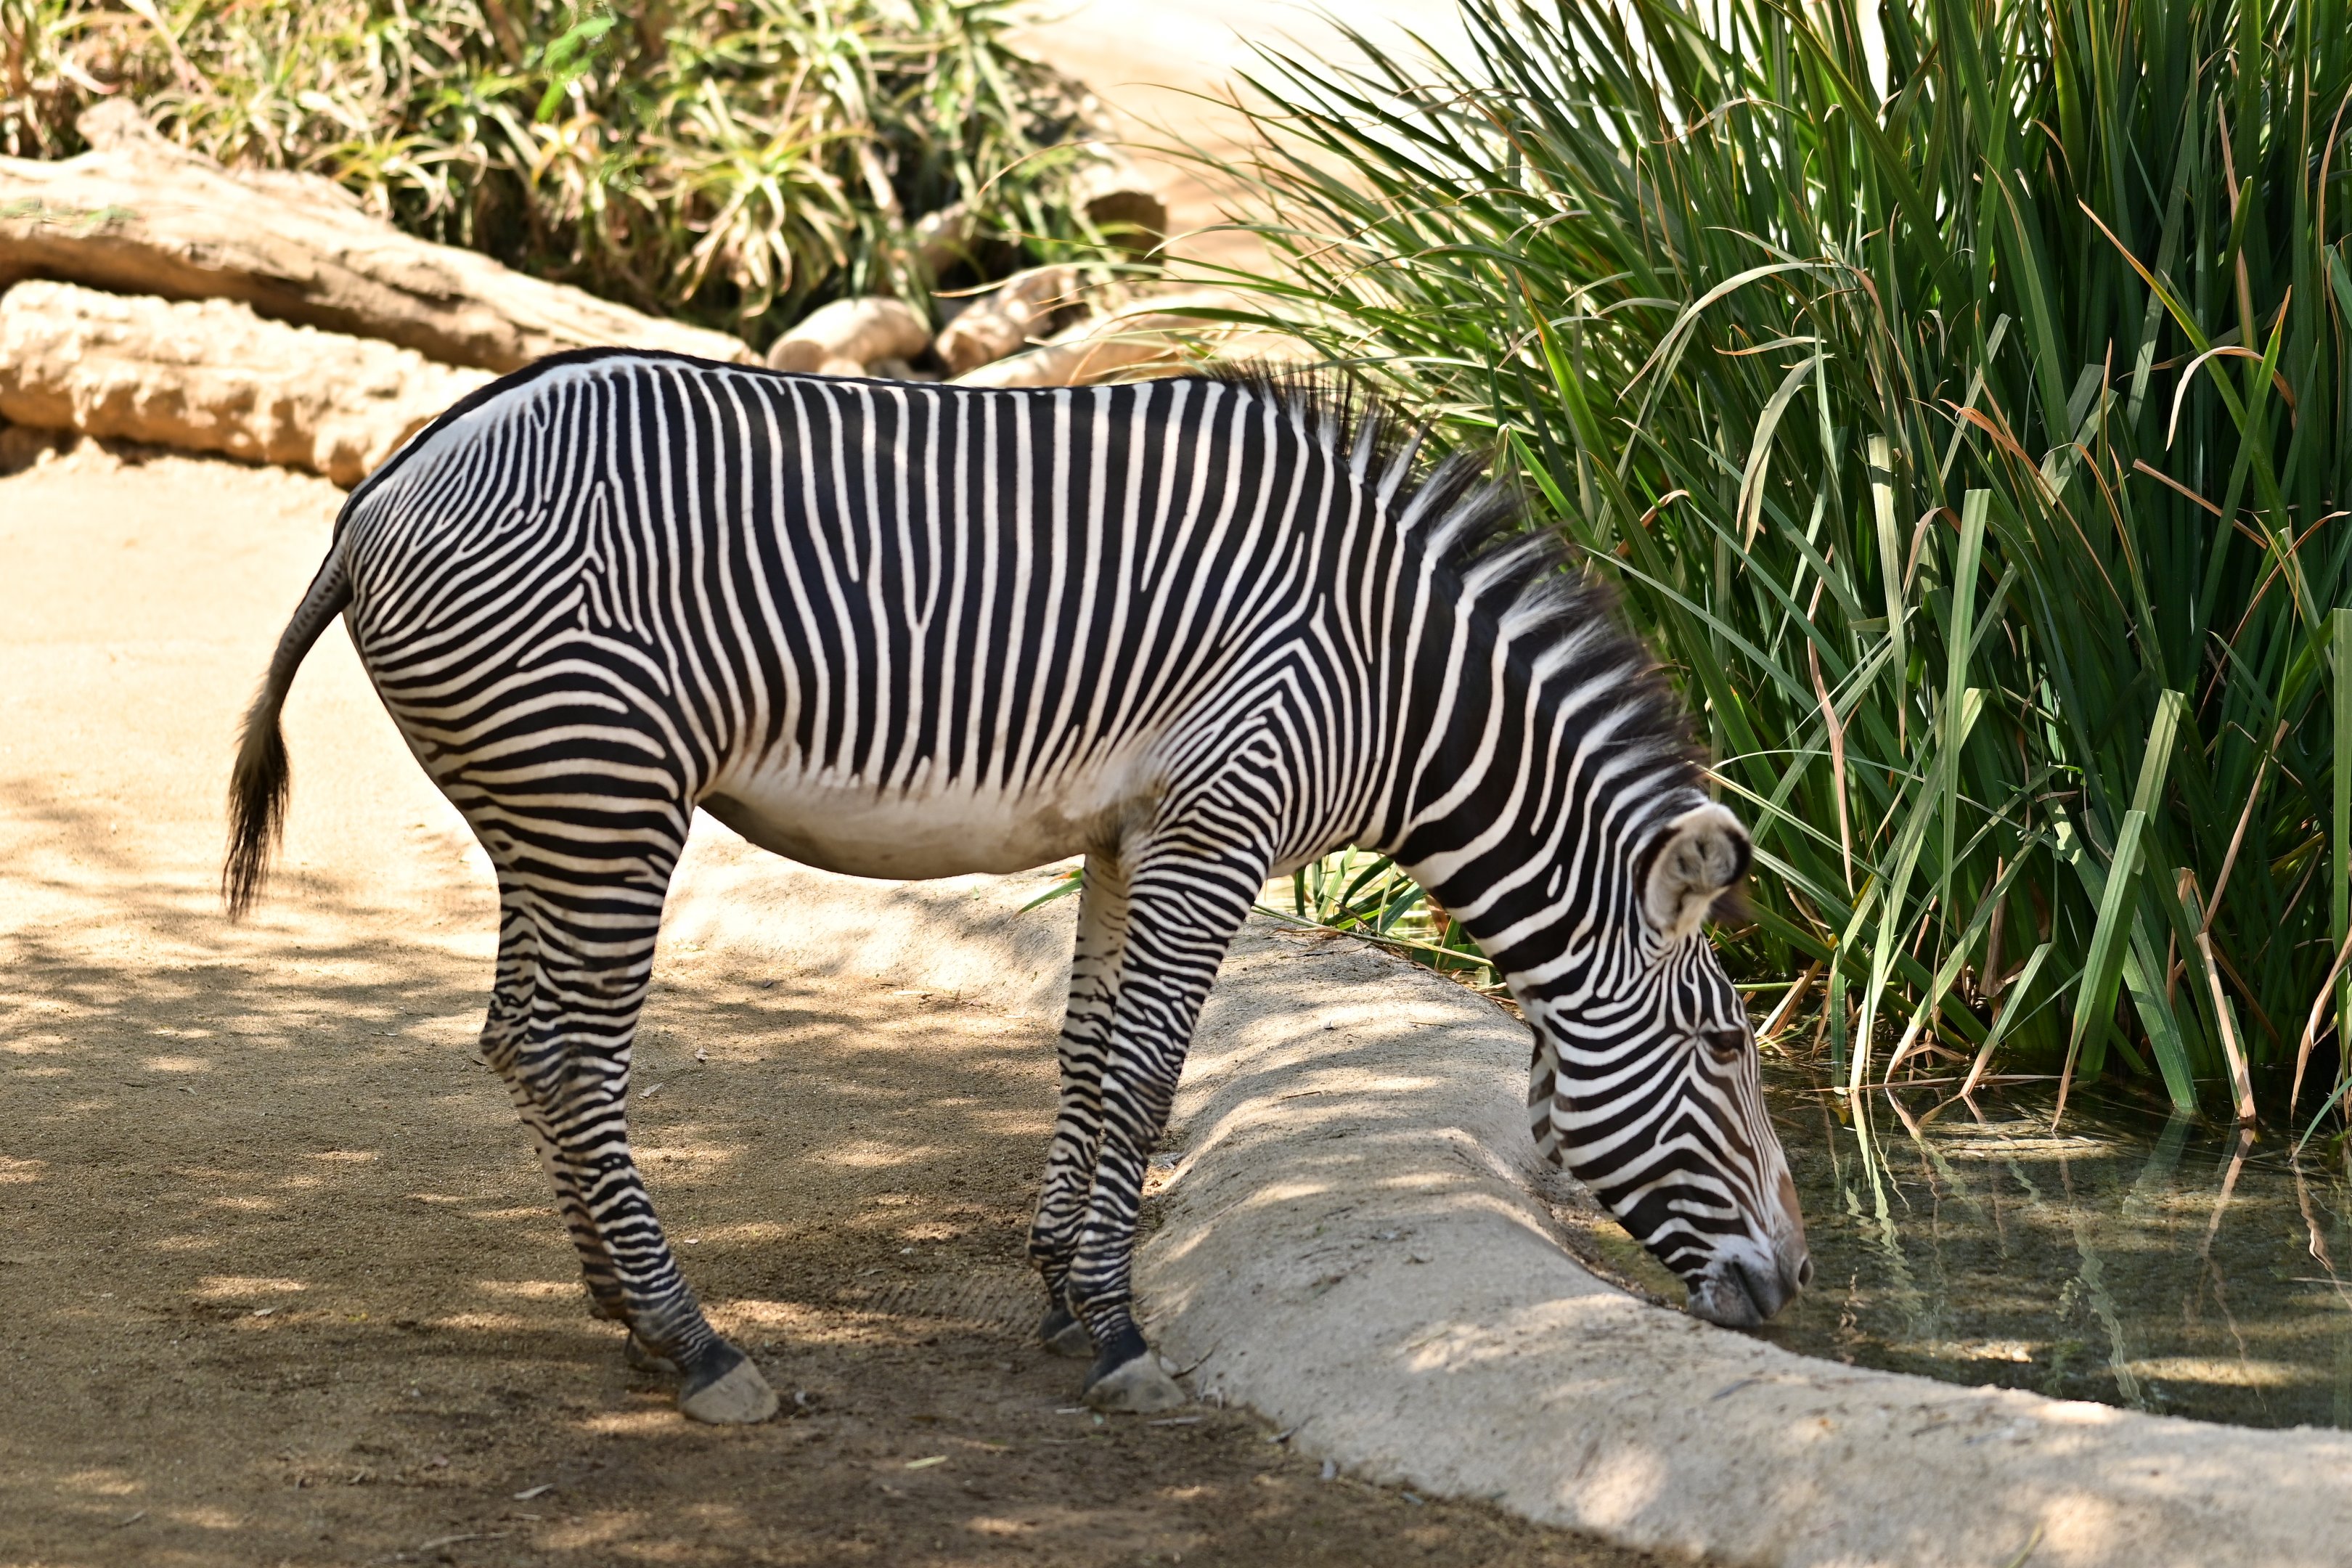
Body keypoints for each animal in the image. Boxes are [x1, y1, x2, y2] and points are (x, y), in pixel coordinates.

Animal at [224, 349, 1810, 1424]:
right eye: (1727, 1046)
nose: (1794, 1286)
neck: (1399, 679)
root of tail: (387, 485)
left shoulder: (1129, 836)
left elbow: (1090, 1057)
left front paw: (1059, 1288)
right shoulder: (1218, 829)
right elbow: (1151, 1077)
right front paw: (1117, 1329)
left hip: (545, 811)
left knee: (520, 1041)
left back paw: (621, 1308)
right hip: (606, 795)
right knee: (573, 1053)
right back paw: (694, 1342)